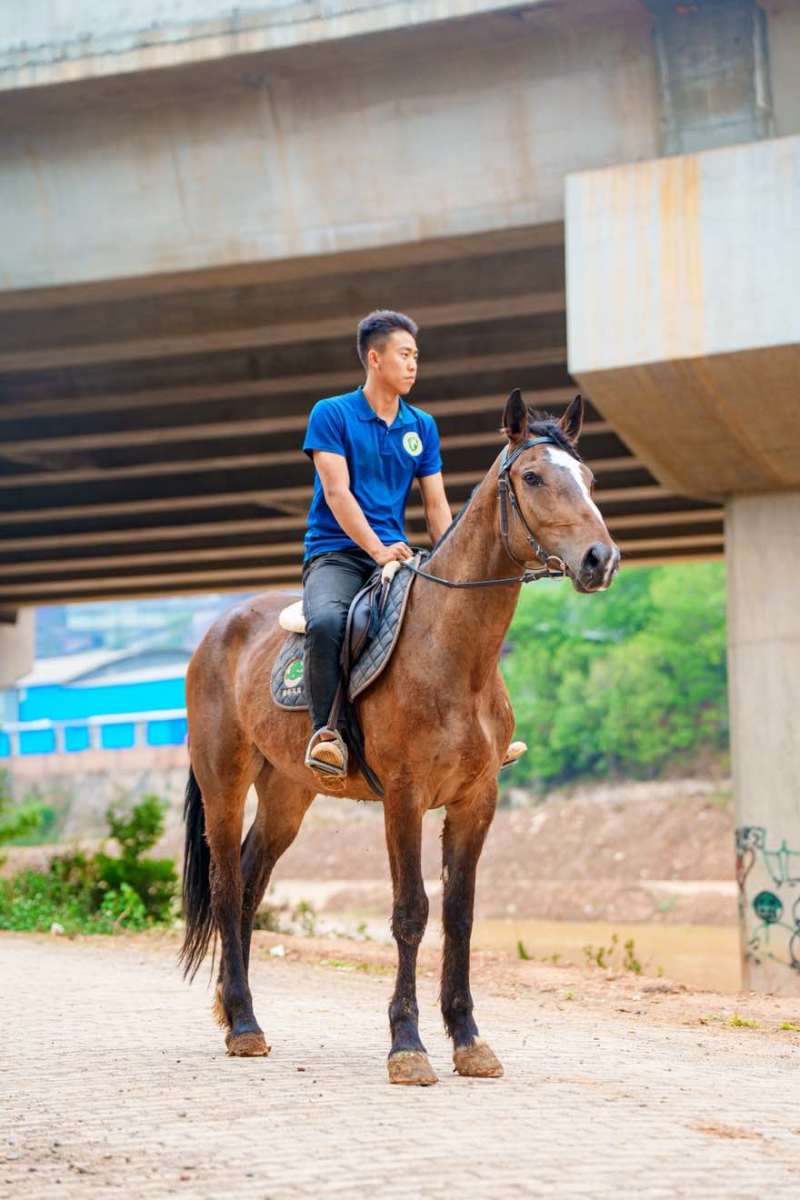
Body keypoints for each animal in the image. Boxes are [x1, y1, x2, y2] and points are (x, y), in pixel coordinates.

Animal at [180, 389, 620, 1085]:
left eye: (591, 479)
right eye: (532, 477)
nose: (602, 560)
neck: (453, 653)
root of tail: (217, 630)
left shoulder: (476, 801)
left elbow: (461, 916)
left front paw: (468, 1040)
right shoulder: (404, 799)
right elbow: (411, 912)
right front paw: (407, 1045)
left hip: (287, 795)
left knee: (250, 884)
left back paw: (236, 1014)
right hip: (224, 781)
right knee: (226, 888)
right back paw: (245, 1025)